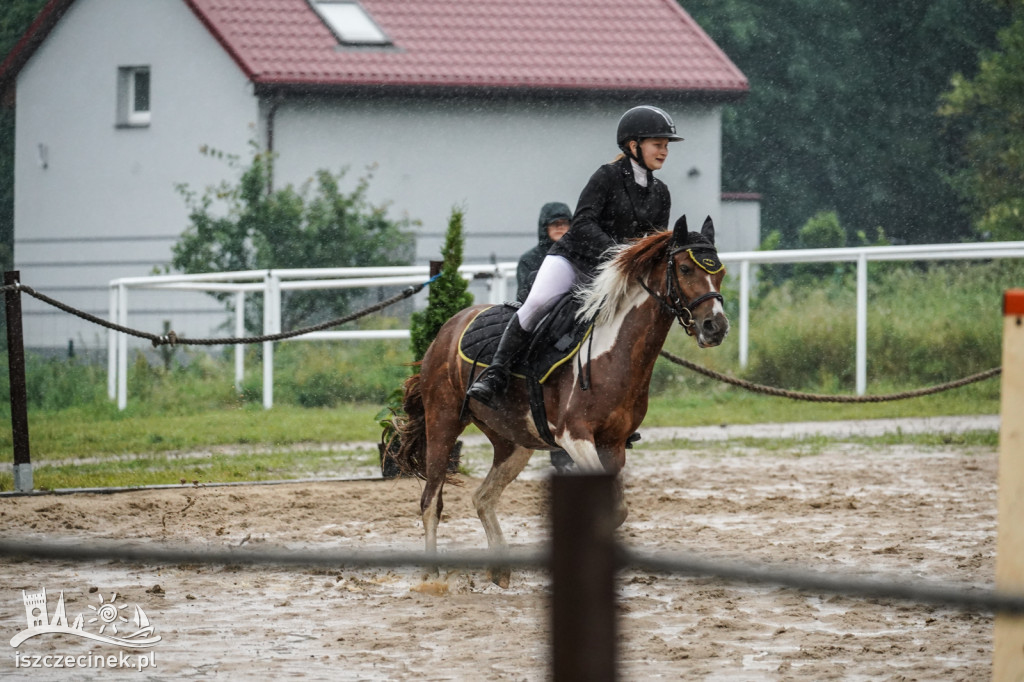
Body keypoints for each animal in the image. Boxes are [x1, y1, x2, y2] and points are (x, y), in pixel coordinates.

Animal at [391, 214, 729, 585]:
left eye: (721, 272)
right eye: (685, 268)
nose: (716, 327)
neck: (615, 350)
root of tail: (447, 329)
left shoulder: (613, 445)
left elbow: (615, 510)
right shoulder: (575, 437)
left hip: (514, 442)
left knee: (483, 497)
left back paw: (499, 571)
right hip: (443, 422)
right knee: (430, 501)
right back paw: (432, 577)